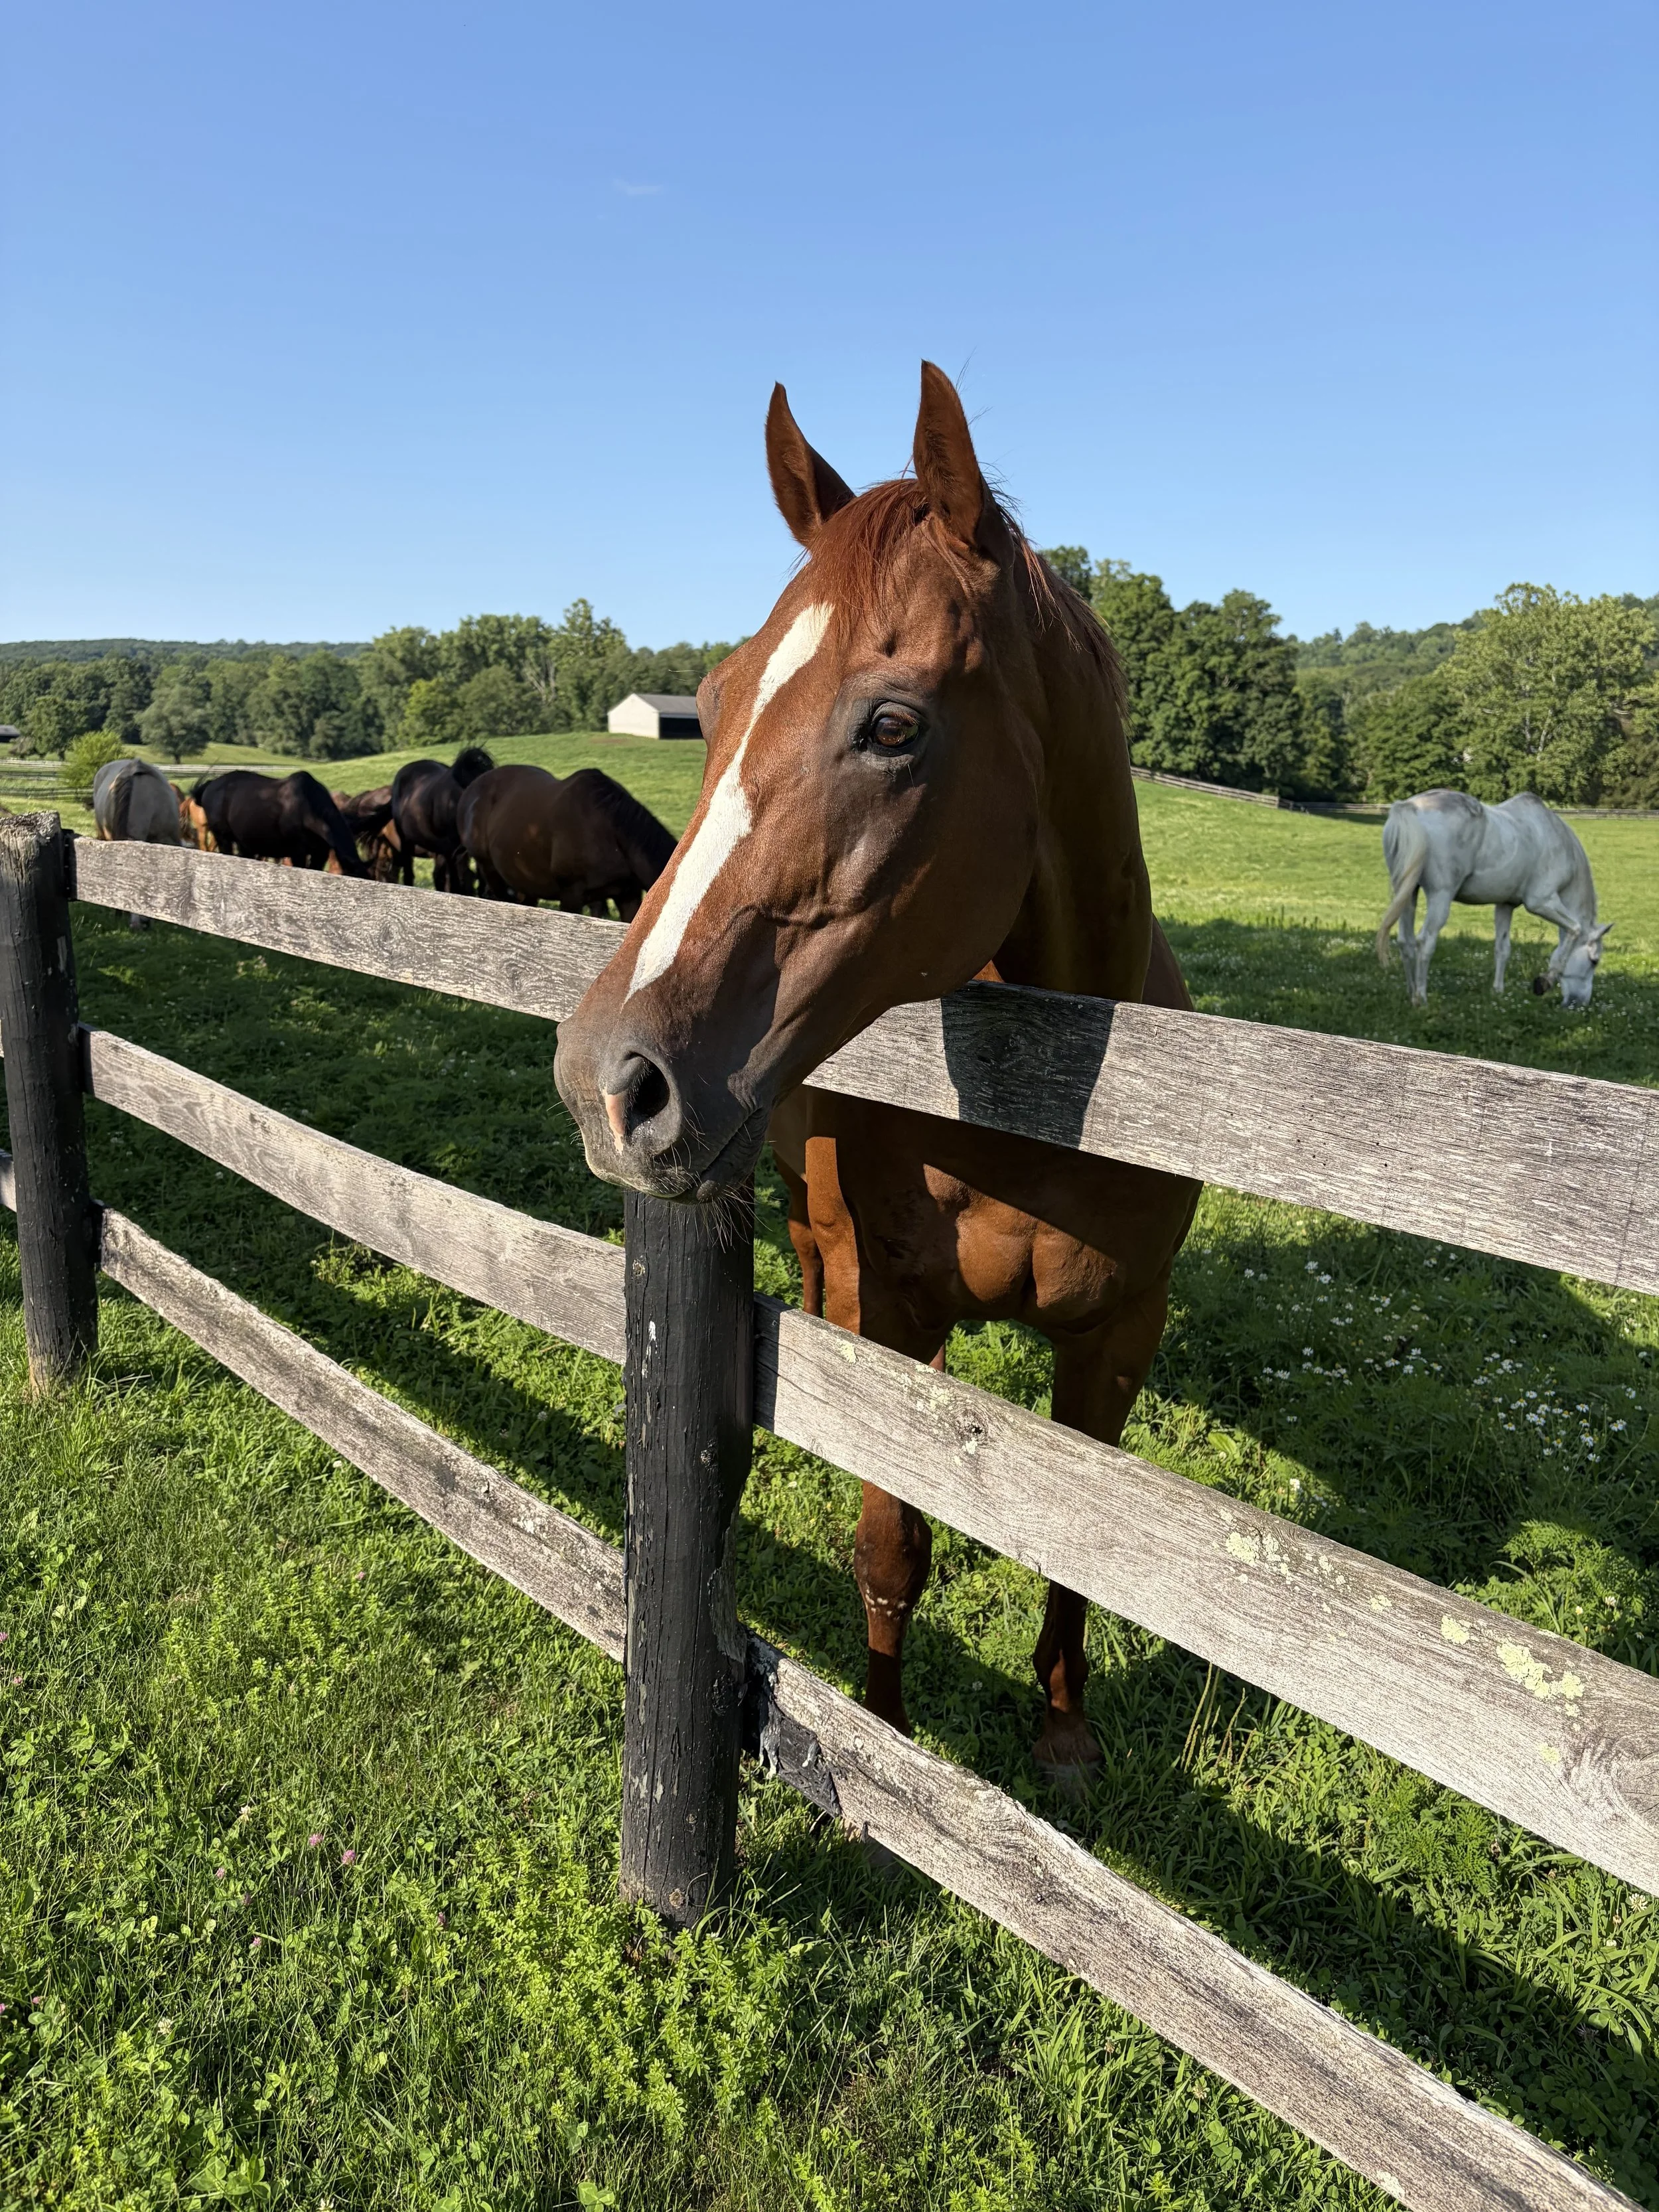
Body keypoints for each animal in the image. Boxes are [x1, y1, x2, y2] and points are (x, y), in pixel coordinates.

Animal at [554, 365, 1201, 1783]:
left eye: (893, 723)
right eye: (714, 701)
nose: (606, 1077)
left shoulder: (1121, 1333)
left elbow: (1081, 1544)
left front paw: (1063, 1732)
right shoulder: (888, 1308)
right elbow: (891, 1543)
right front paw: (884, 1739)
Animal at [1375, 789, 1611, 1007]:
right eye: (1594, 961)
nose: (1580, 1003)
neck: (1556, 838)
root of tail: (1409, 806)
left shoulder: (1505, 905)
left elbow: (1502, 949)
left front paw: (1498, 991)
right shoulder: (1542, 902)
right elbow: (1575, 929)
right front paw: (1545, 981)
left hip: (1408, 892)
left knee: (1405, 941)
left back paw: (1411, 993)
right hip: (1440, 897)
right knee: (1425, 941)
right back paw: (1421, 999)